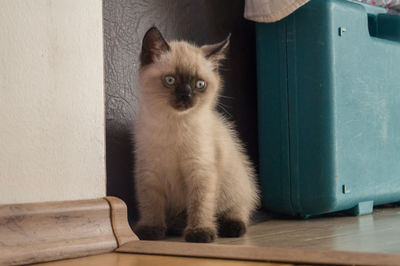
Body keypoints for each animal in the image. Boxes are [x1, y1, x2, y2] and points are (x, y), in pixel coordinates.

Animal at [134, 27, 260, 243]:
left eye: (200, 84)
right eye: (170, 80)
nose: (186, 96)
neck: (174, 124)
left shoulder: (200, 170)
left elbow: (199, 205)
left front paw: (199, 233)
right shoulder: (150, 172)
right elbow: (151, 205)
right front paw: (150, 231)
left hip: (236, 185)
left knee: (238, 210)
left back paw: (229, 228)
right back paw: (174, 227)